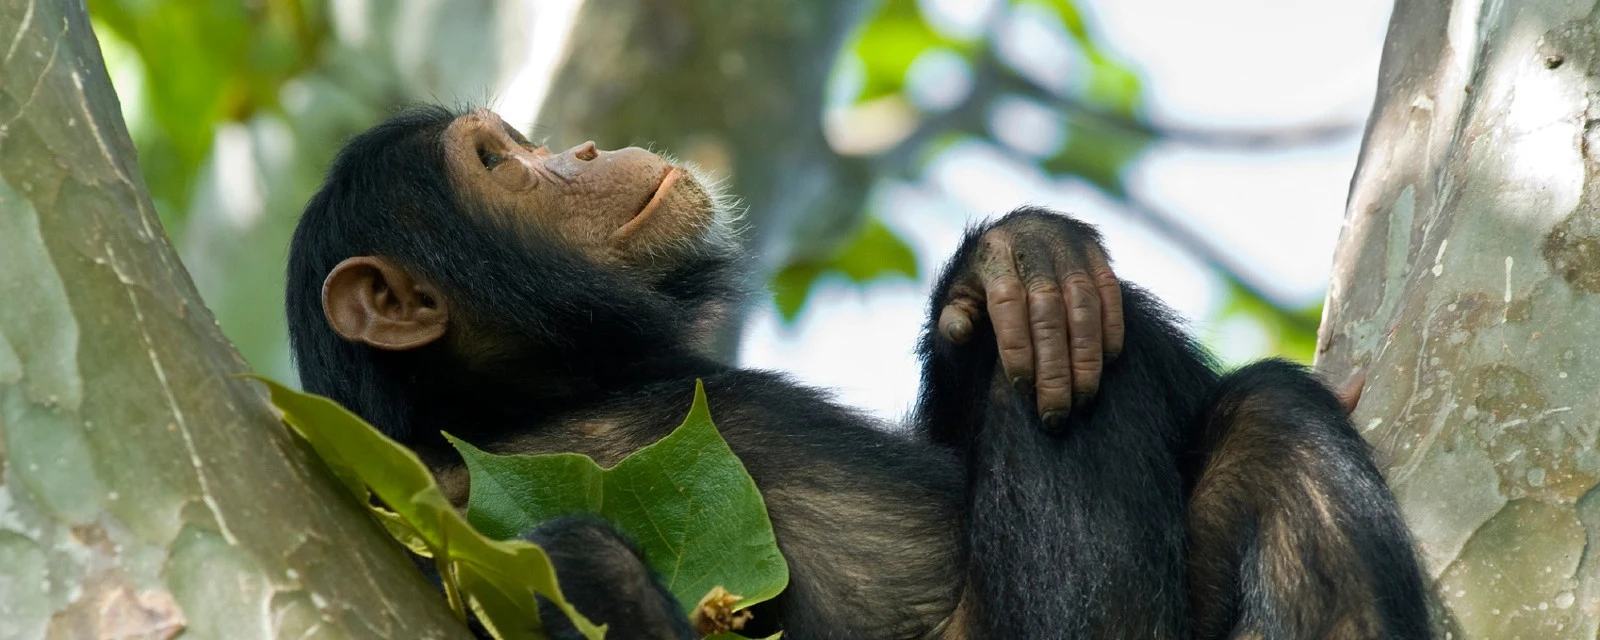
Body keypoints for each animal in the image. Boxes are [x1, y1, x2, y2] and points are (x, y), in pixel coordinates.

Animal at [286, 105, 1429, 639]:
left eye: (518, 142)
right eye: (495, 163)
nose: (579, 151)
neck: (552, 386)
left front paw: (1019, 261)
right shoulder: (440, 506)